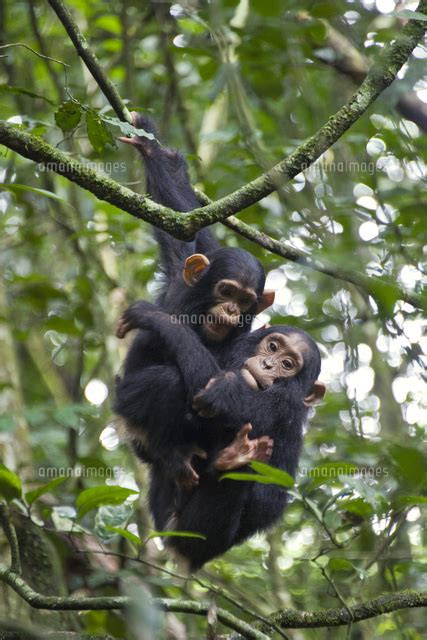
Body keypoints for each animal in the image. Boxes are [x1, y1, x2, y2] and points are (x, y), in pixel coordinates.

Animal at [117, 304, 324, 568]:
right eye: (273, 347)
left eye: (287, 364)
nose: (268, 364)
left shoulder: (282, 405)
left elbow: (220, 400)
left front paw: (161, 320)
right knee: (169, 379)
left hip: (194, 536)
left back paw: (235, 459)